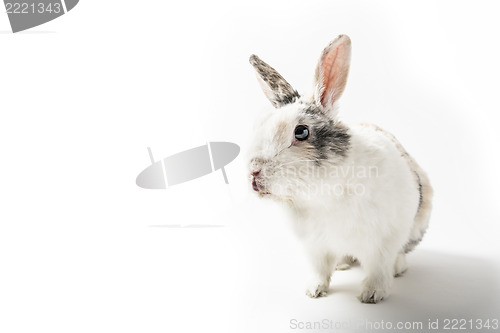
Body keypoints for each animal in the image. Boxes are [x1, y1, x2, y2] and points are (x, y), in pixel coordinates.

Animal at [248, 35, 432, 302]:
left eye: (301, 132)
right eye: (260, 126)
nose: (253, 172)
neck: (322, 192)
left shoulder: (383, 242)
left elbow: (379, 268)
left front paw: (372, 295)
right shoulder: (316, 247)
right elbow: (320, 270)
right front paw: (313, 290)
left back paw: (398, 268)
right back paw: (343, 264)